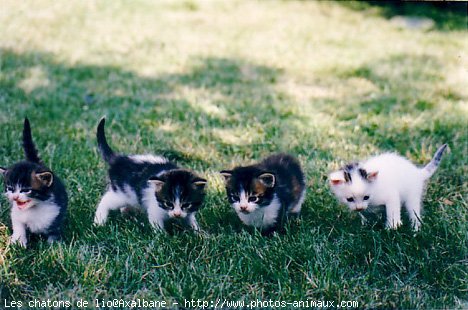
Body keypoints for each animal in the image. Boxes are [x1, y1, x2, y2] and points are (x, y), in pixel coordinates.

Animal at [0, 118, 67, 247]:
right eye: (10, 188)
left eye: (26, 190)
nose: (15, 197)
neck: (34, 208)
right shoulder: (16, 213)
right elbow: (18, 225)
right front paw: (19, 241)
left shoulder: (57, 213)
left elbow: (54, 230)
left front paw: (53, 245)